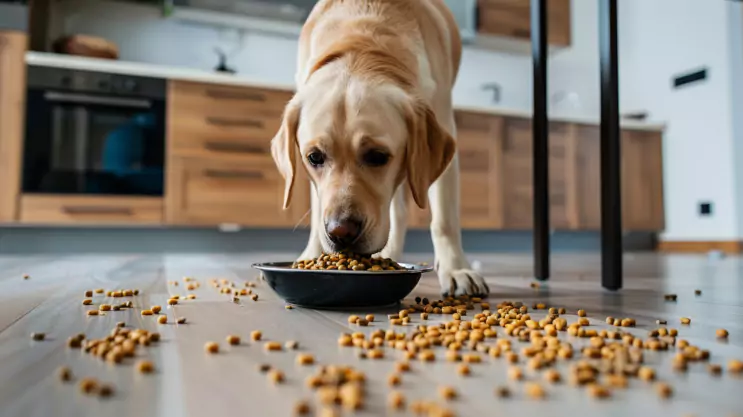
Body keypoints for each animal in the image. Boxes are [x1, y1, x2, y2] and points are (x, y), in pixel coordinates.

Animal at [270, 0, 492, 296]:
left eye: (377, 156)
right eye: (314, 157)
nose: (341, 232)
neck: (360, 46)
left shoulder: (445, 124)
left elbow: (444, 219)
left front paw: (456, 269)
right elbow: (318, 208)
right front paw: (312, 254)